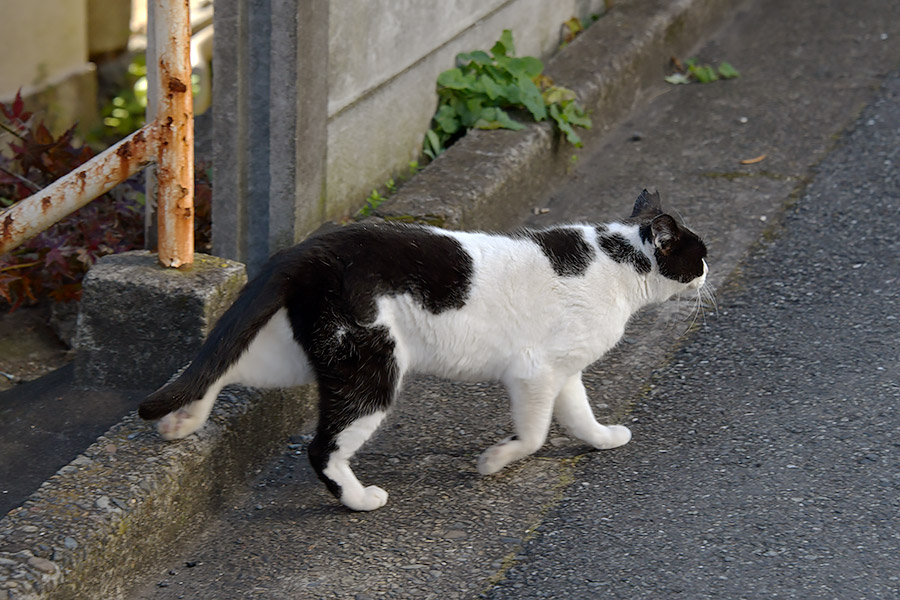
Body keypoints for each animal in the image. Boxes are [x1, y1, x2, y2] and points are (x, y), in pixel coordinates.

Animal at [137, 190, 708, 508]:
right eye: (698, 255)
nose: (709, 270)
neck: (620, 263)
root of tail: (309, 249)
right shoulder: (535, 373)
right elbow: (534, 436)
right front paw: (493, 462)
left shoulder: (563, 372)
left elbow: (579, 415)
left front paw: (604, 439)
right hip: (368, 369)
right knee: (321, 448)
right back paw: (359, 500)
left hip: (299, 357)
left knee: (224, 369)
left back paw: (183, 421)